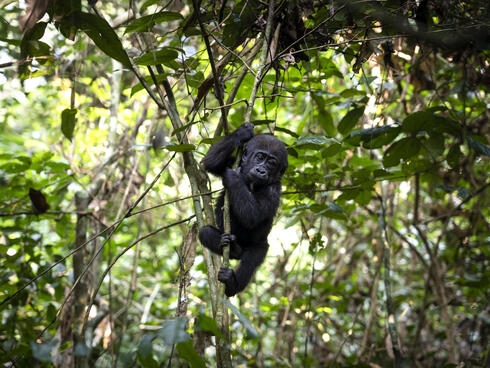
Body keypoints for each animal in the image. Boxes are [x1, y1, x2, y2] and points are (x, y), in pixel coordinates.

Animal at [198, 123, 288, 296]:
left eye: (272, 163)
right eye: (260, 157)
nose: (261, 170)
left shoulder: (274, 189)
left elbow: (252, 216)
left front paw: (233, 177)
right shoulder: (234, 162)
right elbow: (209, 162)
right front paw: (242, 132)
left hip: (257, 245)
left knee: (253, 256)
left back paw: (232, 283)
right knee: (204, 232)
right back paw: (232, 248)